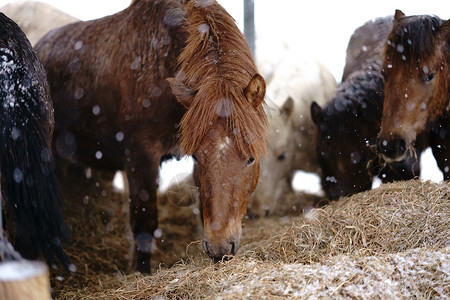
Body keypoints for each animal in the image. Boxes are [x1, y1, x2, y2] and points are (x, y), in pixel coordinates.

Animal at [37, 0, 268, 272]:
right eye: (197, 157)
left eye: (251, 158)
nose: (220, 248)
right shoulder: (142, 154)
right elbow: (144, 223)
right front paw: (140, 272)